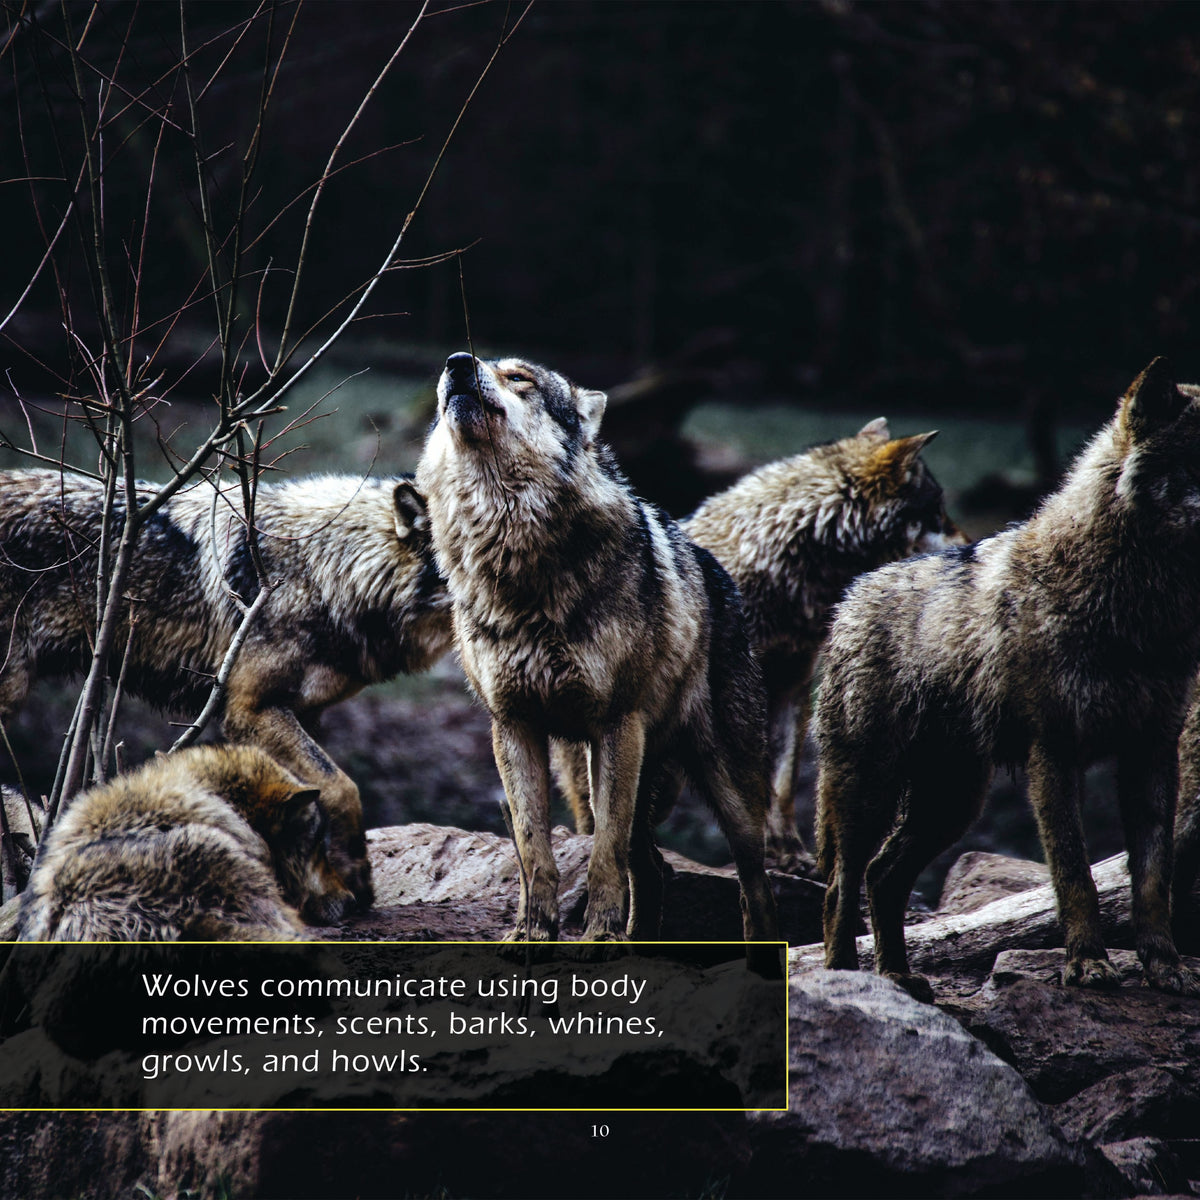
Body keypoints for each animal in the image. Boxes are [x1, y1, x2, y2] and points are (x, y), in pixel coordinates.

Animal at [0, 470, 454, 912]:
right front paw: (355, 879)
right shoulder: (251, 710)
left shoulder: (302, 714)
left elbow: (311, 801)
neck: (323, 571)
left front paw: (327, 890)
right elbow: (342, 788)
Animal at [416, 352, 778, 943]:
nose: (457, 363)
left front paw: (600, 937)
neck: (514, 558)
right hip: (595, 771)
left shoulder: (616, 723)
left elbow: (603, 854)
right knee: (652, 867)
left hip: (727, 793)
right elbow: (533, 849)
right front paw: (533, 932)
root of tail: (715, 567)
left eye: (520, 378)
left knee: (754, 885)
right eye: (465, 366)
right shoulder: (512, 725)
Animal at [557, 419, 965, 874]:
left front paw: (788, 852)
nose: (970, 544)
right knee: (593, 819)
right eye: (938, 512)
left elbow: (783, 786)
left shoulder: (792, 687)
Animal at [817, 358, 1200, 1000]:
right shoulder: (1055, 753)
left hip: (952, 802)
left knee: (881, 875)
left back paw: (897, 977)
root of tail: (852, 593)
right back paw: (849, 978)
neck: (1135, 610)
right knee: (840, 887)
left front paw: (1165, 967)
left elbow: (1153, 879)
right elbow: (1074, 873)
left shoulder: (1152, 752)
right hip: (870, 792)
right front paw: (1087, 964)